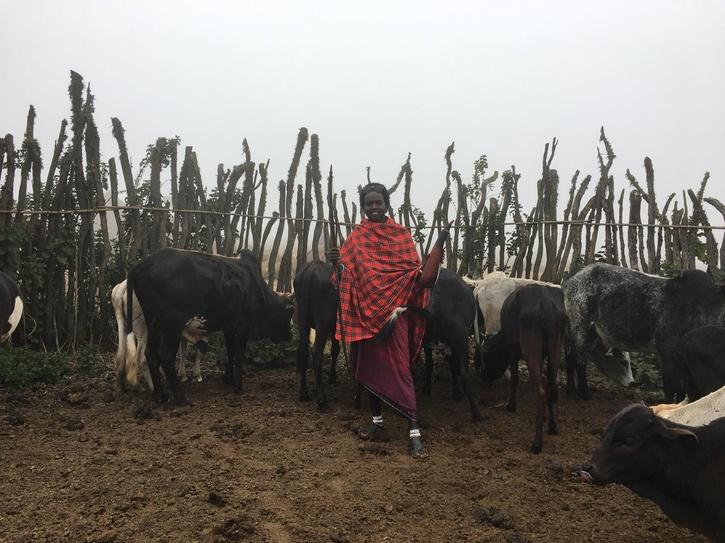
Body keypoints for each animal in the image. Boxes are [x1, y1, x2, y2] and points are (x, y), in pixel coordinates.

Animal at [128, 248, 294, 404]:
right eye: (288, 315)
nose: (290, 336)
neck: (256, 287)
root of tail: (139, 266)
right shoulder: (243, 326)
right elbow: (239, 355)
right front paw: (238, 386)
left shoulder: (229, 327)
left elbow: (230, 352)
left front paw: (227, 378)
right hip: (172, 326)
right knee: (166, 356)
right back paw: (181, 397)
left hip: (153, 324)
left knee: (150, 354)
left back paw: (161, 396)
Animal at [294, 262, 340, 410]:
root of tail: (311, 270)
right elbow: (335, 350)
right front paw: (332, 377)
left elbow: (335, 350)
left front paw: (332, 377)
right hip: (323, 323)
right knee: (316, 353)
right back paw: (322, 400)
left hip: (302, 319)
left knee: (303, 350)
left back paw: (303, 394)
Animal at [484, 284, 568, 454]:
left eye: (487, 357)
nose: (484, 376)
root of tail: (544, 299)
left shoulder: (511, 348)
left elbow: (515, 379)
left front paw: (511, 405)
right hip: (556, 349)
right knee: (551, 387)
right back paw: (552, 426)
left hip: (530, 349)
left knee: (541, 392)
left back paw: (537, 443)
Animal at [564, 264, 724, 404]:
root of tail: (572, 277)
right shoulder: (667, 352)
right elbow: (670, 386)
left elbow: (679, 388)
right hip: (580, 327)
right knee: (576, 360)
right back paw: (581, 394)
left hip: (591, 333)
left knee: (575, 358)